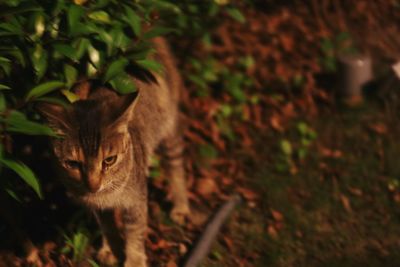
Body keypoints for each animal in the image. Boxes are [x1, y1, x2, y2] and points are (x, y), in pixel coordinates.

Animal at [38, 37, 191, 267]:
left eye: (109, 160)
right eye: (72, 164)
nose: (93, 185)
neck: (106, 195)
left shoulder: (136, 200)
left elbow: (135, 232)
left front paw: (134, 260)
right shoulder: (99, 207)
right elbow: (108, 226)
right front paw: (111, 249)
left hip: (169, 128)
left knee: (175, 165)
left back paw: (180, 206)